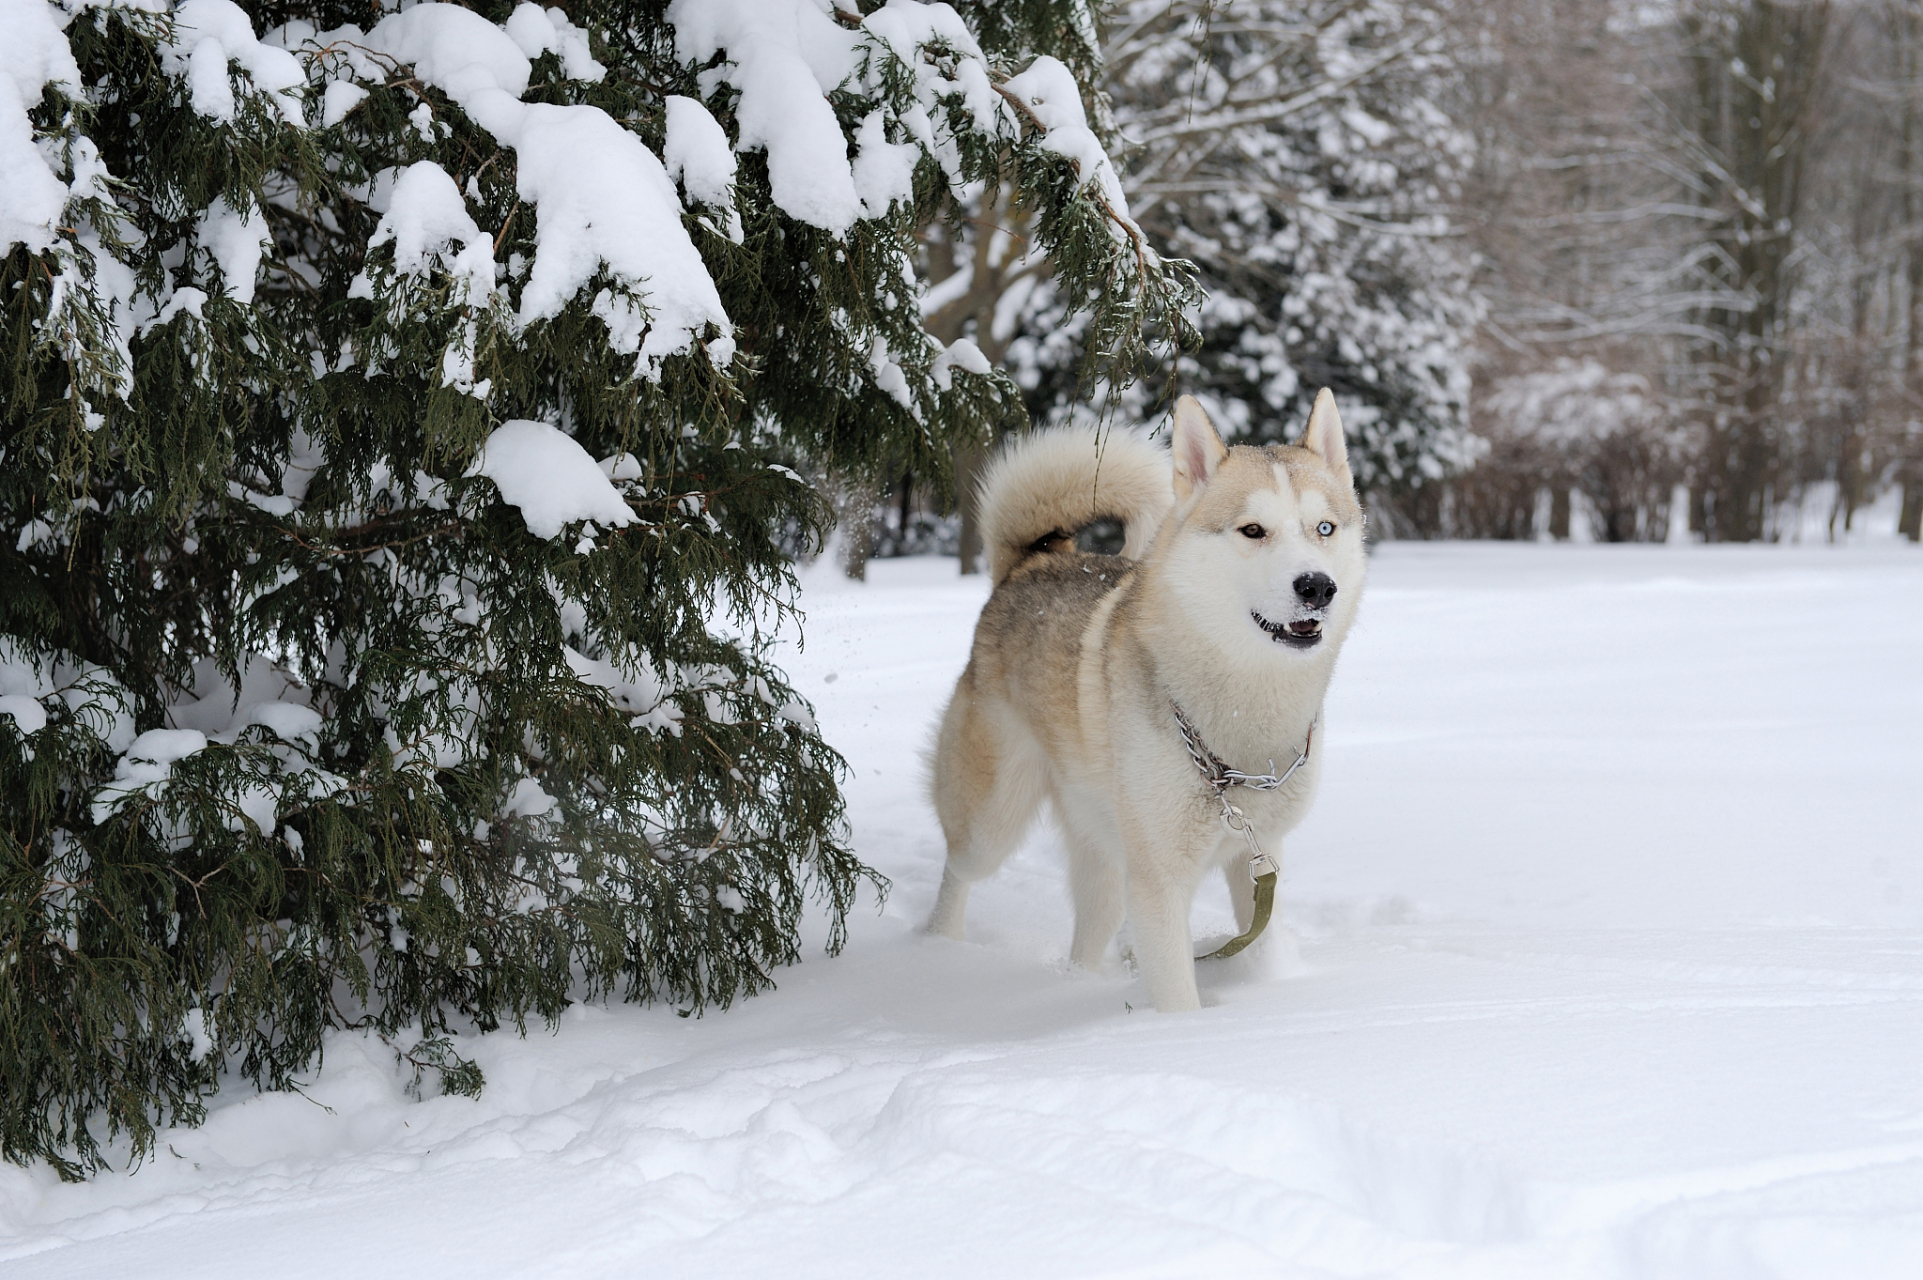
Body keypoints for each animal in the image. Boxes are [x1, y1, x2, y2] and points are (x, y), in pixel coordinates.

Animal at [923, 388, 1361, 1007]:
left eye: (1324, 527)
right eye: (1253, 530)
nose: (1318, 587)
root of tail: (1034, 560)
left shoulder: (1259, 857)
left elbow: (1265, 942)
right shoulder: (1160, 882)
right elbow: (1178, 996)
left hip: (1104, 856)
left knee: (1088, 932)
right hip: (993, 823)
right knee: (957, 872)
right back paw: (938, 954)